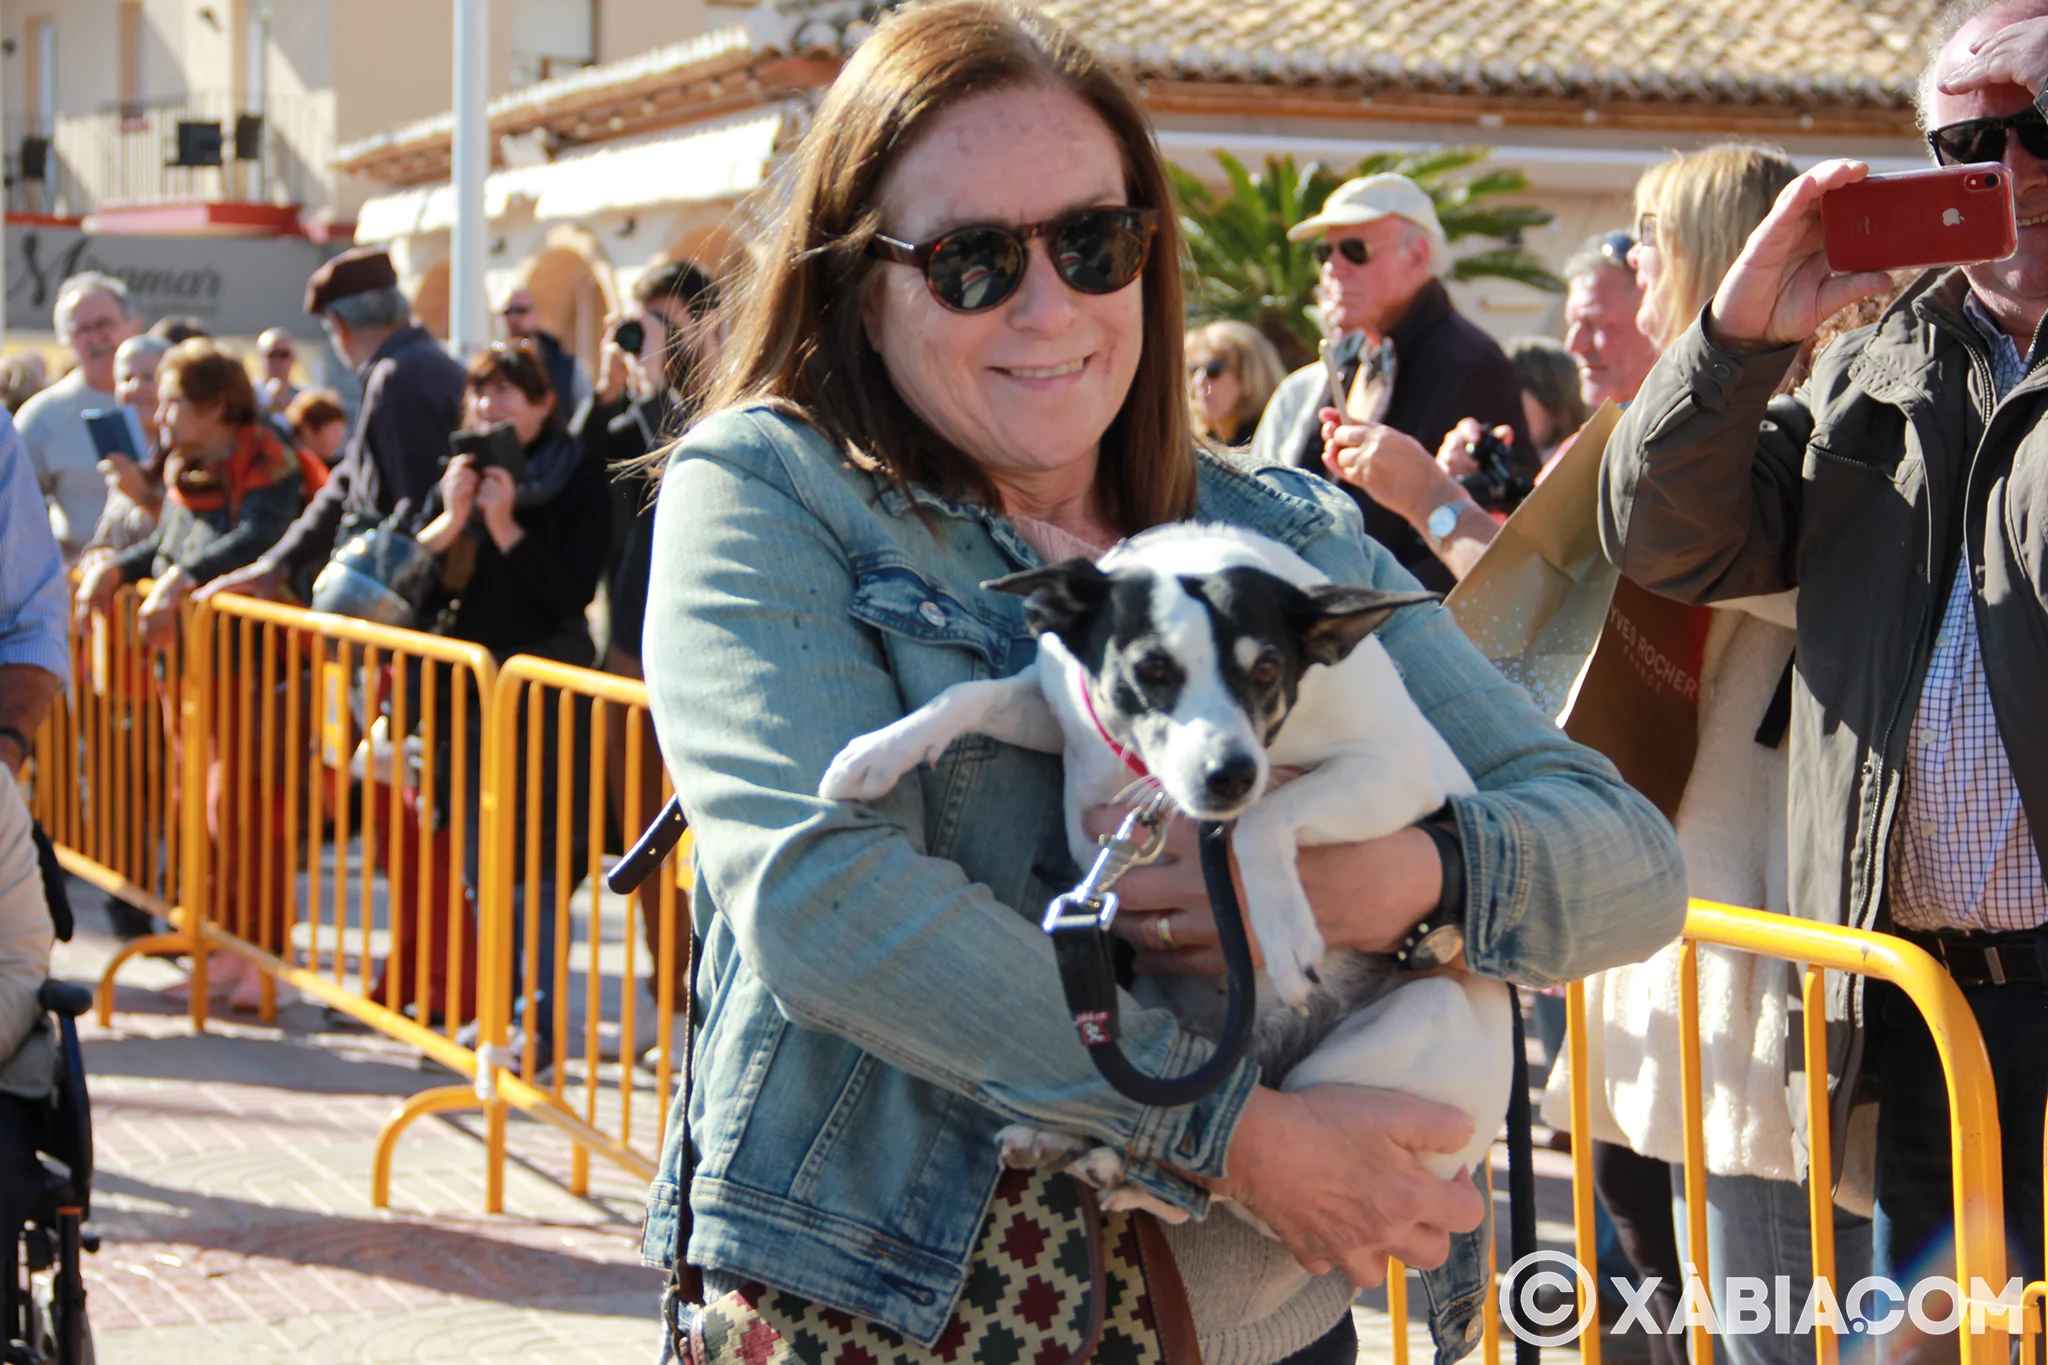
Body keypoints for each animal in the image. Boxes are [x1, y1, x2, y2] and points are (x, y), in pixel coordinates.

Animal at [823, 523, 1515, 1219]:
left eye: (1267, 670)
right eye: (1150, 671)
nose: (1231, 775)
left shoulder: (1397, 771)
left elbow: (1265, 818)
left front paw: (1286, 935)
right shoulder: (1058, 707)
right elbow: (967, 693)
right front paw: (879, 751)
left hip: (1409, 1022)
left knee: (1231, 1182)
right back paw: (1072, 1145)